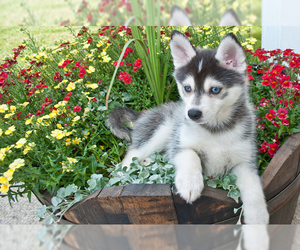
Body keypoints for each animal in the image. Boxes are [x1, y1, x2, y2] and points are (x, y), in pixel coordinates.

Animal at [108, 30, 270, 224]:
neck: (215, 130)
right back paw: (123, 176)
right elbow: (190, 154)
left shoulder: (244, 160)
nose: (192, 114)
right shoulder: (178, 144)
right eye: (187, 88)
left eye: (215, 90)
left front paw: (258, 217)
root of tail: (143, 114)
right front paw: (190, 184)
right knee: (131, 155)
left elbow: (252, 185)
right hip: (162, 129)